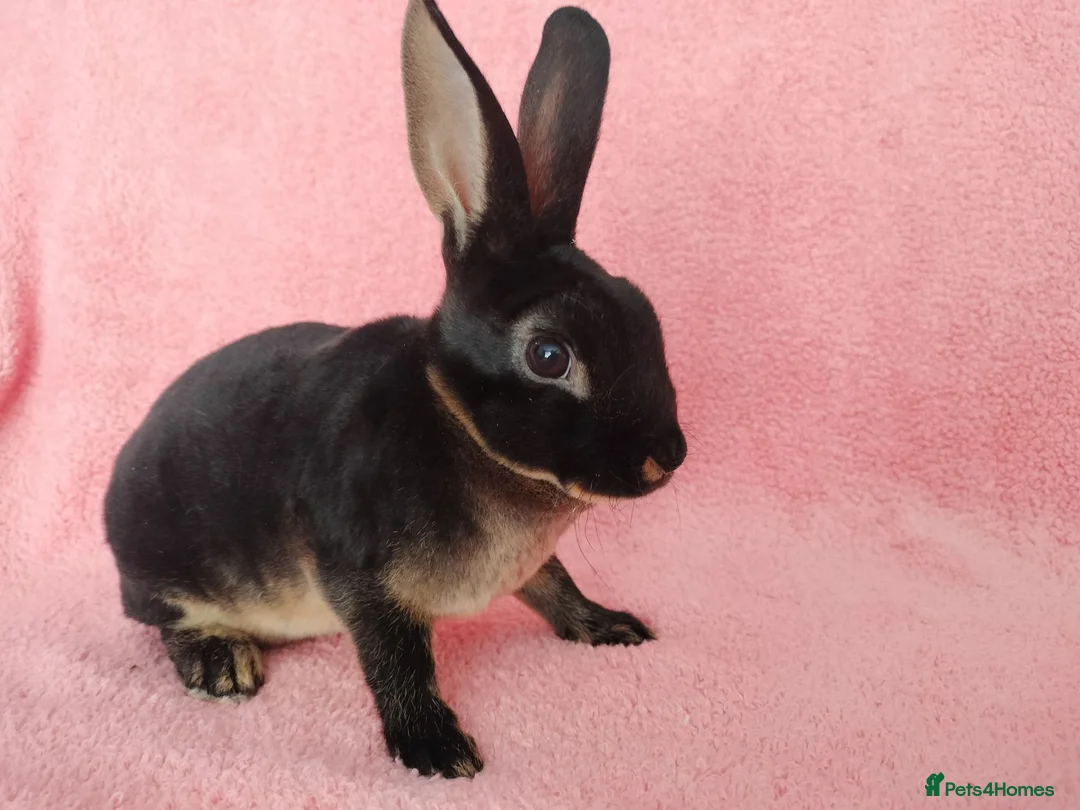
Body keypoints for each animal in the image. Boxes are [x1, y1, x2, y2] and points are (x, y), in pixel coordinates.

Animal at [103, 0, 687, 780]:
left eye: (645, 312)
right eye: (548, 355)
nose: (669, 455)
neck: (461, 427)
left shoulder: (530, 567)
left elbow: (556, 585)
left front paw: (612, 627)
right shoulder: (364, 581)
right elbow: (397, 663)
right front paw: (437, 750)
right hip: (168, 566)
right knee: (164, 621)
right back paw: (222, 666)